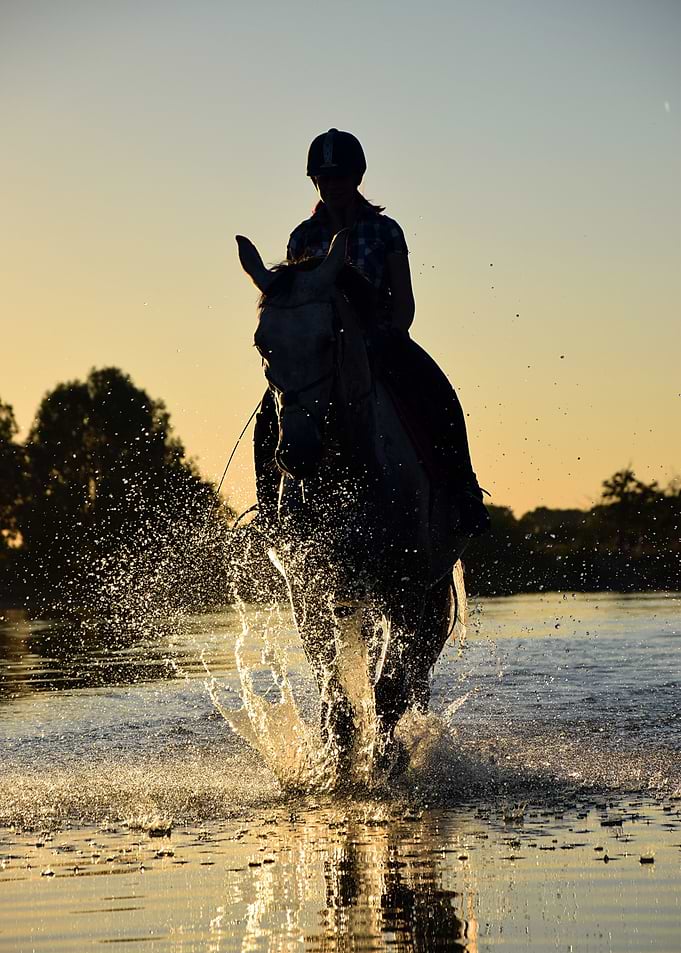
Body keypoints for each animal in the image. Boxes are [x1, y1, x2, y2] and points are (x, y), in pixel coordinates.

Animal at [236, 231, 469, 771]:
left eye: (329, 338)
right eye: (262, 344)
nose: (296, 453)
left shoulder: (407, 589)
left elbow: (389, 692)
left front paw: (383, 762)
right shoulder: (310, 589)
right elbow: (335, 691)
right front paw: (333, 763)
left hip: (423, 591)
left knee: (414, 673)